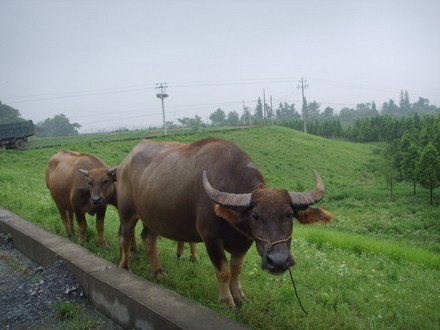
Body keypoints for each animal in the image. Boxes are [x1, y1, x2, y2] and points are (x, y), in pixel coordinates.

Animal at [117, 138, 334, 308]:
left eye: (289, 215)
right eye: (255, 216)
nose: (278, 261)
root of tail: (126, 162)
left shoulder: (244, 241)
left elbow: (236, 270)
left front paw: (239, 297)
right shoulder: (211, 238)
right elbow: (223, 271)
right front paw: (226, 301)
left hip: (153, 217)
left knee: (148, 238)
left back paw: (158, 272)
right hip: (128, 213)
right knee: (125, 236)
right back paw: (125, 266)